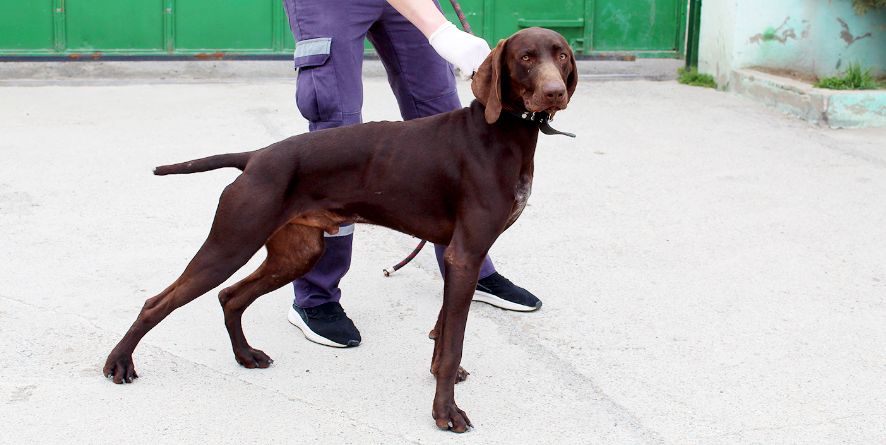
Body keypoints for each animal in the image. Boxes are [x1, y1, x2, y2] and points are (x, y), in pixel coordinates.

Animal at [104, 27, 580, 430]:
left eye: (560, 54)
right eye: (525, 57)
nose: (554, 93)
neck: (502, 134)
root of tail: (255, 157)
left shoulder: (457, 255)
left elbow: (444, 331)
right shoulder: (465, 253)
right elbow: (453, 342)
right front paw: (446, 412)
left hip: (296, 253)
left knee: (230, 296)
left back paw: (245, 354)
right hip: (230, 243)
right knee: (157, 302)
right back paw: (119, 363)